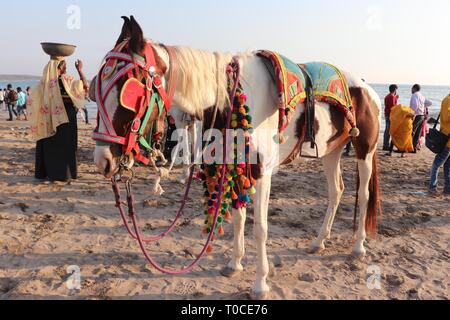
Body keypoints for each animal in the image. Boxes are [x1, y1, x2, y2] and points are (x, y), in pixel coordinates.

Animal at [91, 15, 380, 300]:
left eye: (130, 90)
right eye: (96, 87)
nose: (103, 159)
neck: (233, 96)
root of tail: (369, 89)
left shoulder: (262, 171)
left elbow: (260, 228)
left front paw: (260, 284)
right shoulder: (235, 165)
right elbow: (239, 218)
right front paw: (235, 264)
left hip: (364, 149)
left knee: (364, 194)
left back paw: (358, 246)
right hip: (331, 151)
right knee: (336, 191)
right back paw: (319, 241)